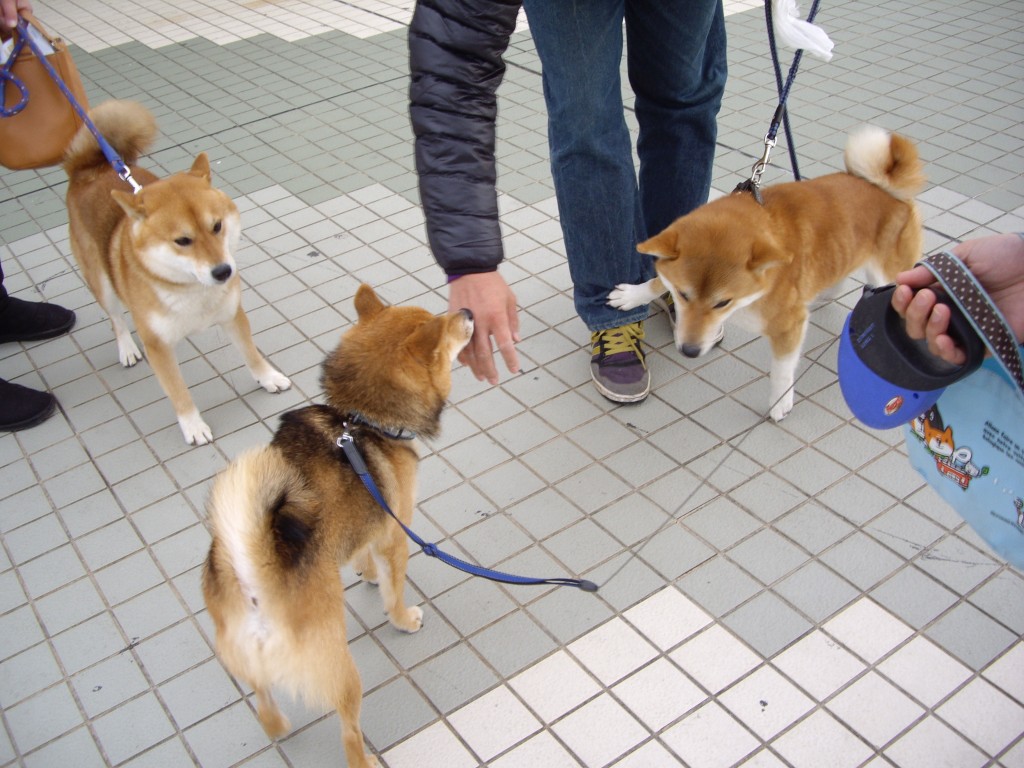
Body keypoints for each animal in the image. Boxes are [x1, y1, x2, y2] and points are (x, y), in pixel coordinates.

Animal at [62, 99, 290, 444]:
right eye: (183, 241)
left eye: (217, 226)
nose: (223, 272)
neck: (193, 291)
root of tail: (89, 170)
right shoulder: (157, 344)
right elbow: (178, 392)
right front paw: (193, 426)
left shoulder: (232, 315)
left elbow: (251, 354)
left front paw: (268, 377)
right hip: (102, 282)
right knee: (116, 318)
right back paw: (127, 349)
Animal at [202, 286, 475, 765]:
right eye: (446, 328)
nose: (467, 310)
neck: (361, 419)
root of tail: (255, 582)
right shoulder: (395, 535)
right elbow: (393, 589)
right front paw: (401, 616)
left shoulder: (366, 521)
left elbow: (361, 551)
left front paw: (364, 573)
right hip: (341, 669)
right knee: (348, 732)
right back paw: (365, 758)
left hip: (249, 664)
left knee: (263, 702)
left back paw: (279, 726)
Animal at [606, 129, 929, 423]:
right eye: (683, 295)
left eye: (722, 303)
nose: (689, 351)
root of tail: (888, 189)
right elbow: (658, 280)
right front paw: (633, 295)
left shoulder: (789, 325)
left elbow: (781, 371)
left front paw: (779, 403)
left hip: (889, 271)